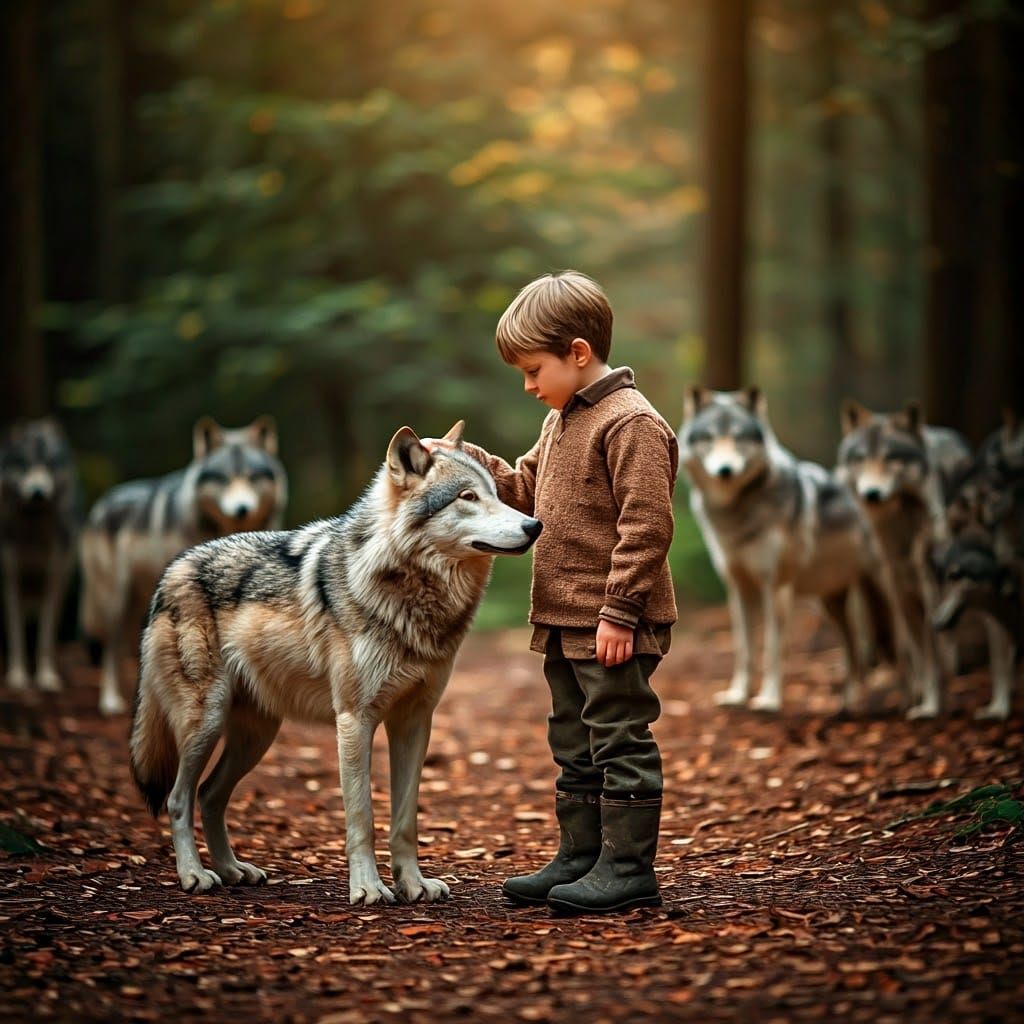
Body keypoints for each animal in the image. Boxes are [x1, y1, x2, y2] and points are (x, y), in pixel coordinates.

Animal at [1, 419, 80, 693]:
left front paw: (46, 677)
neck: (33, 531)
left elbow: (45, 636)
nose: (37, 493)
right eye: (24, 464)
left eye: (50, 463)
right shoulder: (10, 579)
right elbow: (15, 635)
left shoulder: (53, 580)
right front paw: (17, 677)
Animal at [80, 416, 287, 716]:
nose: (242, 509)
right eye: (223, 479)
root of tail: (102, 503)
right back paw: (111, 701)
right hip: (116, 603)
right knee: (111, 649)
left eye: (251, 477)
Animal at [129, 422, 541, 905]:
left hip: (257, 735)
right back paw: (195, 875)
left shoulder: (415, 722)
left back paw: (233, 870)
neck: (409, 587)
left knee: (210, 796)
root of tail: (171, 571)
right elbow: (362, 817)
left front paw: (413, 885)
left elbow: (405, 820)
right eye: (467, 497)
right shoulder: (354, 720)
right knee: (179, 798)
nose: (535, 524)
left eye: (495, 492)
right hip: (205, 723)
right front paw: (368, 888)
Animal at [679, 388, 890, 713]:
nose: (725, 471)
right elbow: (744, 649)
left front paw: (768, 699)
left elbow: (772, 649)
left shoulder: (775, 587)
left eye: (738, 438)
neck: (736, 515)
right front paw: (737, 695)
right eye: (710, 437)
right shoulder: (739, 589)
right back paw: (848, 704)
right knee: (855, 652)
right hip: (832, 604)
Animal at [837, 400, 972, 718]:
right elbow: (920, 653)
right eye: (861, 459)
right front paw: (924, 702)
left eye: (891, 459)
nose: (872, 494)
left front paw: (934, 705)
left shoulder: (929, 588)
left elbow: (933, 650)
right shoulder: (898, 588)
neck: (899, 531)